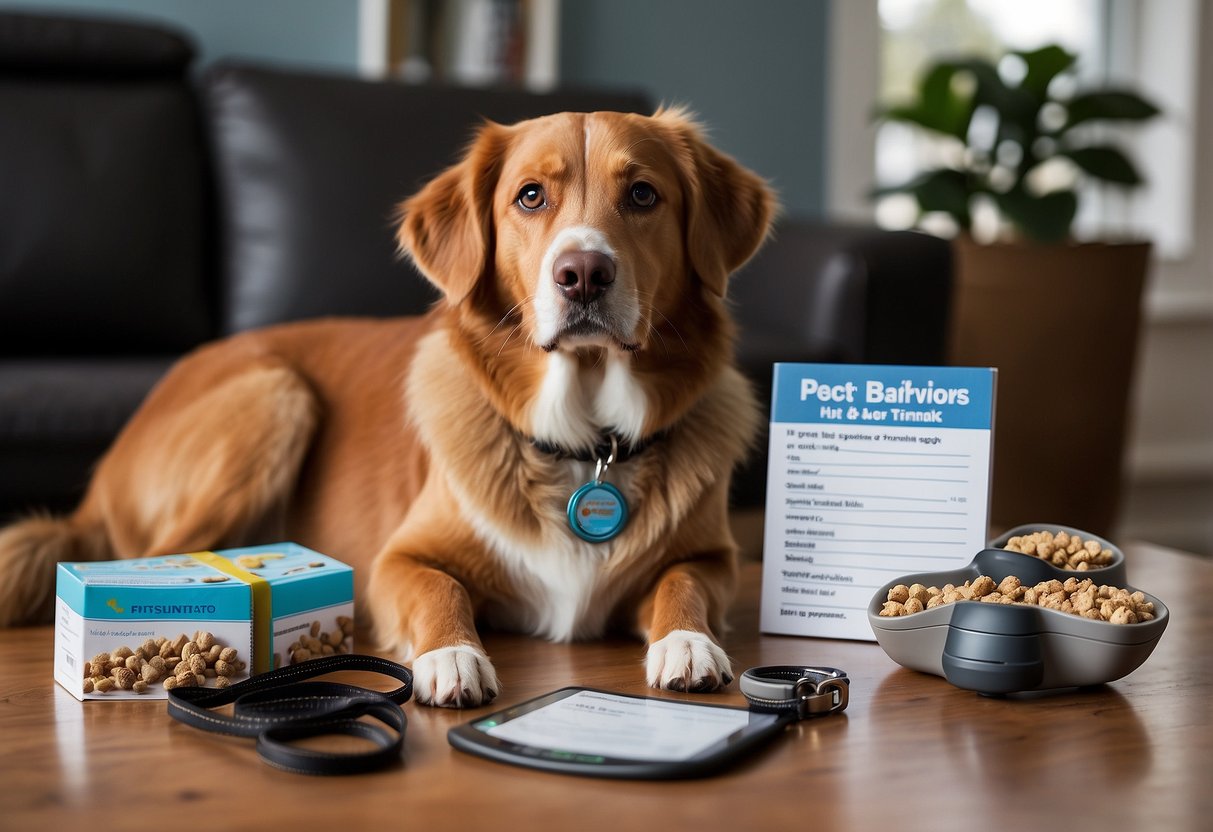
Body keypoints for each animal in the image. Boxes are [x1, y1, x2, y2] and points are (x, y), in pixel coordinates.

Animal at [0, 107, 776, 708]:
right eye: (530, 197)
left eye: (643, 195)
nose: (582, 273)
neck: (585, 445)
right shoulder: (395, 559)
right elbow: (440, 591)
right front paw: (451, 656)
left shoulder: (714, 557)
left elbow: (683, 581)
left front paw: (687, 642)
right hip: (276, 395)